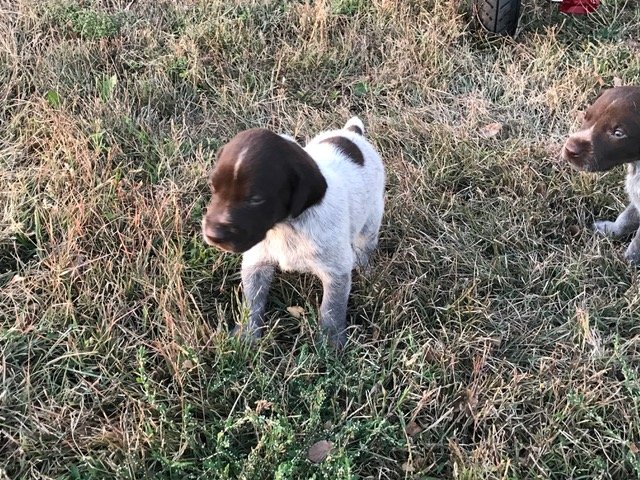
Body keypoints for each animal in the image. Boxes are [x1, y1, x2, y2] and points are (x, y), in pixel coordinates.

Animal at [202, 118, 384, 346]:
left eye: (256, 199)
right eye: (212, 187)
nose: (212, 235)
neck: (285, 226)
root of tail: (352, 133)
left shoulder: (337, 270)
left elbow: (332, 309)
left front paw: (331, 344)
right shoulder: (256, 262)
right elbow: (252, 302)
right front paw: (247, 335)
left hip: (371, 220)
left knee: (364, 248)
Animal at [560, 87, 640, 262]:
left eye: (618, 133)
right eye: (586, 115)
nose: (570, 149)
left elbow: (638, 241)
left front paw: (627, 262)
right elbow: (625, 219)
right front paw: (609, 230)